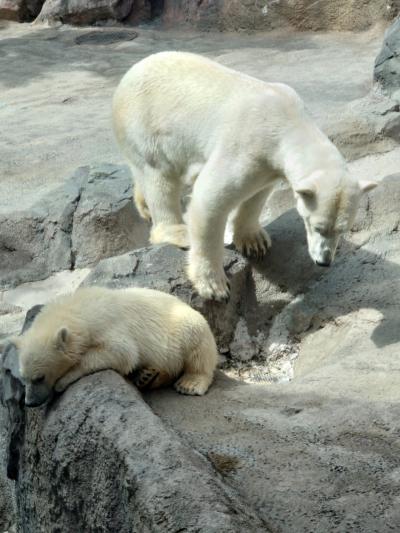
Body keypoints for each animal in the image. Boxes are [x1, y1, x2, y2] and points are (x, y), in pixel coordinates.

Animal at [111, 52, 376, 302]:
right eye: (317, 226)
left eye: (343, 229)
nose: (324, 261)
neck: (289, 119)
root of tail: (128, 75)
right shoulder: (247, 145)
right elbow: (210, 200)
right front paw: (213, 285)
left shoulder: (267, 164)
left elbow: (257, 194)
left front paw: (254, 241)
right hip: (146, 125)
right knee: (159, 178)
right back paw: (177, 230)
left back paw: (143, 205)